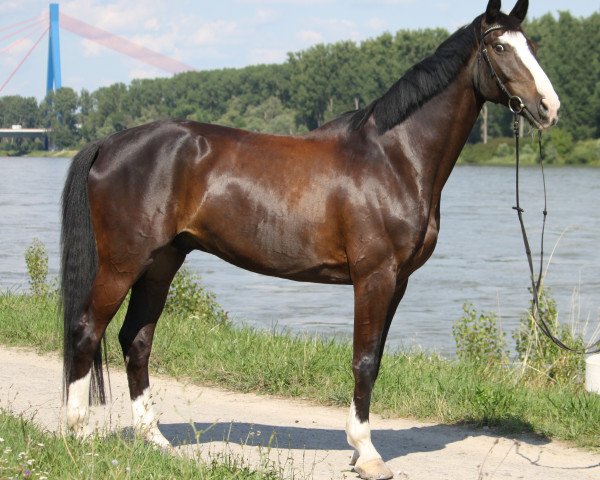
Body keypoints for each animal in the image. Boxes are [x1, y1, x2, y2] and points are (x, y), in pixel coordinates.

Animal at [61, 1, 556, 478]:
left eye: (533, 45)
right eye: (501, 48)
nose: (549, 108)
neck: (393, 158)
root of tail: (110, 143)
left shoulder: (398, 282)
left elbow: (375, 360)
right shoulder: (374, 277)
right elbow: (364, 360)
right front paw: (367, 454)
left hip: (162, 263)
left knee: (136, 340)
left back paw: (155, 439)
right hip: (124, 263)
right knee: (87, 331)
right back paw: (78, 435)